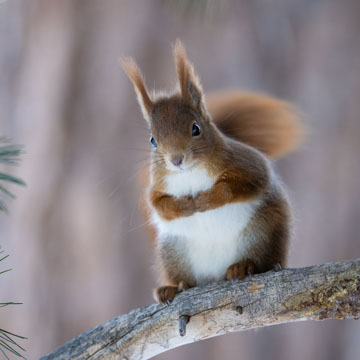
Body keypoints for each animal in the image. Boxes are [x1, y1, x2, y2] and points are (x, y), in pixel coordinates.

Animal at [121, 40, 304, 304]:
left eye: (196, 128)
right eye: (153, 140)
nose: (176, 160)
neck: (189, 173)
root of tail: (215, 275)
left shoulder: (247, 164)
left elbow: (241, 185)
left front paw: (207, 199)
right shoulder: (157, 186)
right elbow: (159, 204)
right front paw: (184, 206)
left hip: (262, 231)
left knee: (263, 261)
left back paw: (243, 266)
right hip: (173, 251)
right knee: (185, 279)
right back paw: (173, 287)